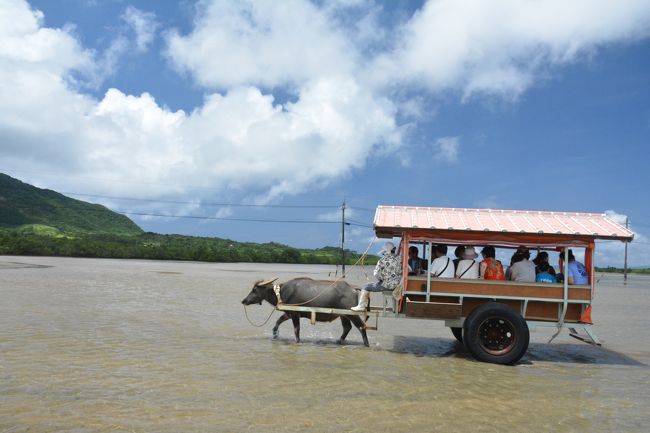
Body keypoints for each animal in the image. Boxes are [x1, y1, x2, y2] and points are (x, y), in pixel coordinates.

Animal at [240, 278, 368, 346]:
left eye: (254, 290)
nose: (244, 300)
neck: (282, 292)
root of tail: (352, 288)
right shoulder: (289, 313)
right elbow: (278, 322)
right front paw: (275, 334)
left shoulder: (295, 314)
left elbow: (296, 329)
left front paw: (297, 341)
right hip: (343, 315)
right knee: (347, 327)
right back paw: (339, 341)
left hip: (352, 314)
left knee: (362, 326)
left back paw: (366, 344)